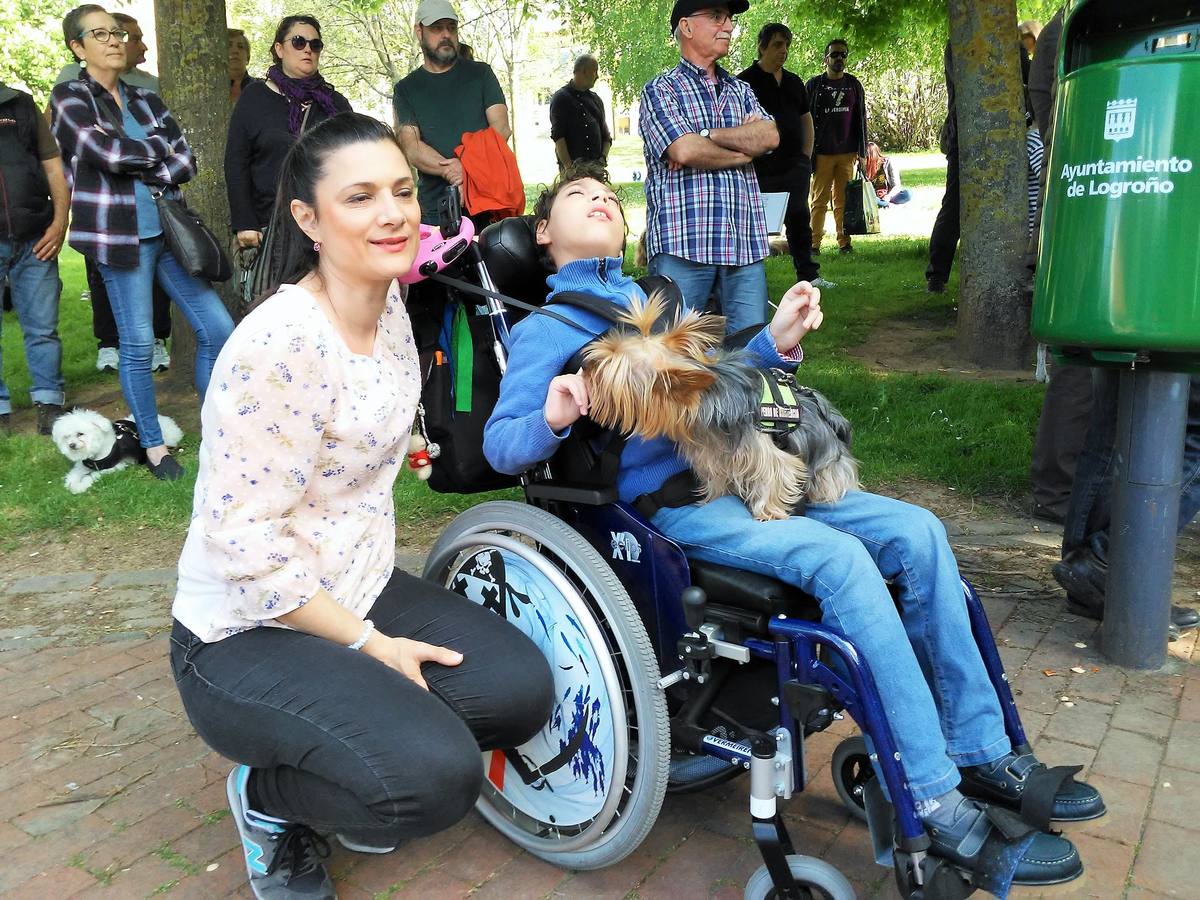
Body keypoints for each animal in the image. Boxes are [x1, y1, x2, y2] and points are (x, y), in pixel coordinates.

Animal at [51, 408, 183, 494]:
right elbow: (73, 475)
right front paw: (73, 484)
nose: (71, 445)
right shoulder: (82, 466)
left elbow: (92, 476)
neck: (98, 452)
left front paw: (82, 485)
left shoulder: (115, 467)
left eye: (80, 434)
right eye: (66, 437)